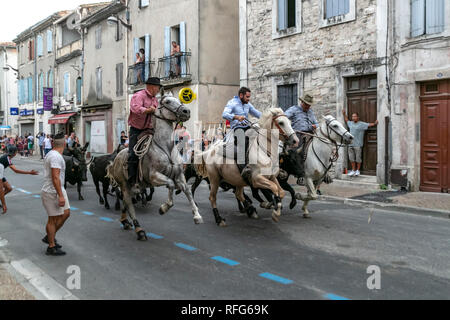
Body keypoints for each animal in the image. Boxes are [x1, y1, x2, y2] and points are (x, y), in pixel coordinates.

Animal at [106, 92, 203, 240]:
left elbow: (187, 190)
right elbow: (170, 184)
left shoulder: (179, 175)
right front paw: (164, 208)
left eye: (178, 99)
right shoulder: (154, 176)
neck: (166, 148)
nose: (186, 111)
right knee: (129, 205)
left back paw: (125, 221)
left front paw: (197, 216)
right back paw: (139, 229)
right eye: (167, 101)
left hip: (133, 187)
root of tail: (116, 159)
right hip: (125, 186)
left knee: (126, 205)